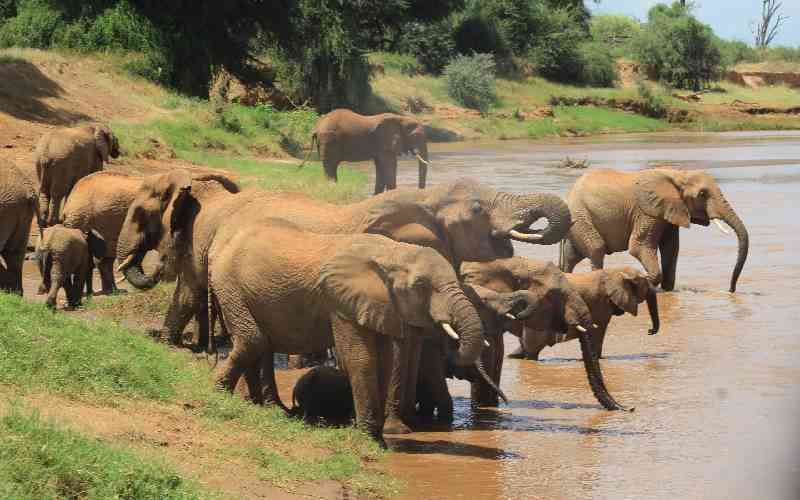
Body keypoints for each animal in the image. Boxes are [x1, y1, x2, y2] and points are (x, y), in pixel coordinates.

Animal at [205, 217, 487, 446]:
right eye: (420, 285)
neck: (393, 252)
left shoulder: (380, 303)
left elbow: (384, 361)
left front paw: (378, 440)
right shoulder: (340, 301)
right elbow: (361, 359)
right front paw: (369, 440)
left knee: (262, 344)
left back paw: (269, 409)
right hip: (229, 284)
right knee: (252, 339)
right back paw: (218, 393)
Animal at [509, 266, 659, 361]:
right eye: (646, 285)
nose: (650, 331)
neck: (615, 271)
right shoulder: (600, 303)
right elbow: (599, 329)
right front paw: (596, 358)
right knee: (532, 349)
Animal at [560, 168, 749, 293]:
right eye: (702, 194)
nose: (731, 290)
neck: (678, 174)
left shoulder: (670, 211)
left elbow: (671, 249)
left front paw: (667, 290)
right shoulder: (647, 211)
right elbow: (639, 246)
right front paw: (643, 283)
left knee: (571, 256)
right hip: (581, 215)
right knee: (596, 248)